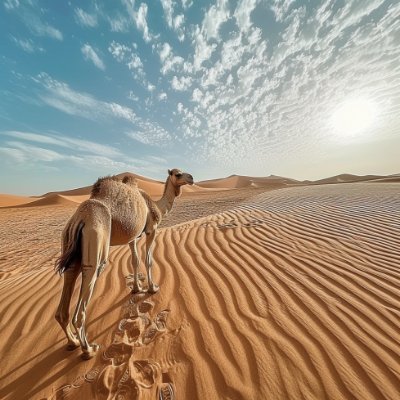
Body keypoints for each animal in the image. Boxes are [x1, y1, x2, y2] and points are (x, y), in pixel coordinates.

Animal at [54, 168, 194, 360]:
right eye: (177, 174)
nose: (192, 178)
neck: (157, 206)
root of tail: (79, 219)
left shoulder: (132, 236)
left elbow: (135, 260)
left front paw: (136, 288)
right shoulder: (151, 229)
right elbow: (148, 259)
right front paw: (152, 288)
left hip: (69, 244)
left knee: (68, 280)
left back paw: (73, 342)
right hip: (96, 242)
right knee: (86, 292)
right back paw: (88, 349)